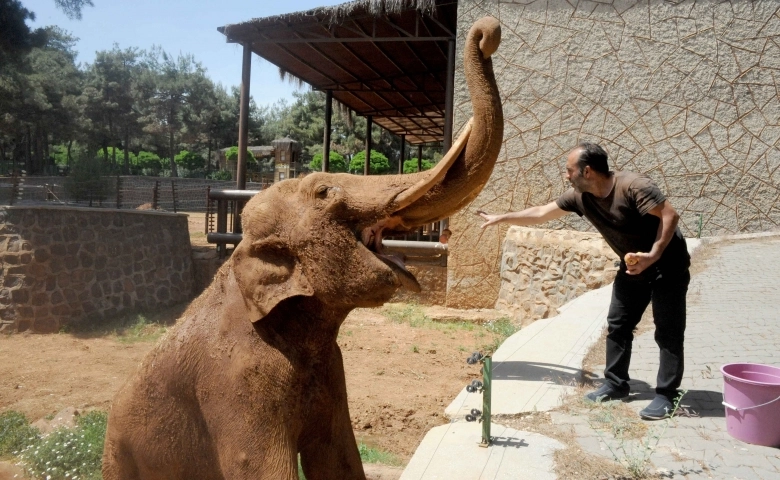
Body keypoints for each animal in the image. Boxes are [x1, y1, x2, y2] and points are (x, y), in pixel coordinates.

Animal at [102, 15, 506, 480]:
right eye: (325, 191)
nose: (487, 33)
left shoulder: (331, 372)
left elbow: (338, 456)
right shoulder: (238, 383)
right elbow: (266, 469)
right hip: (118, 456)